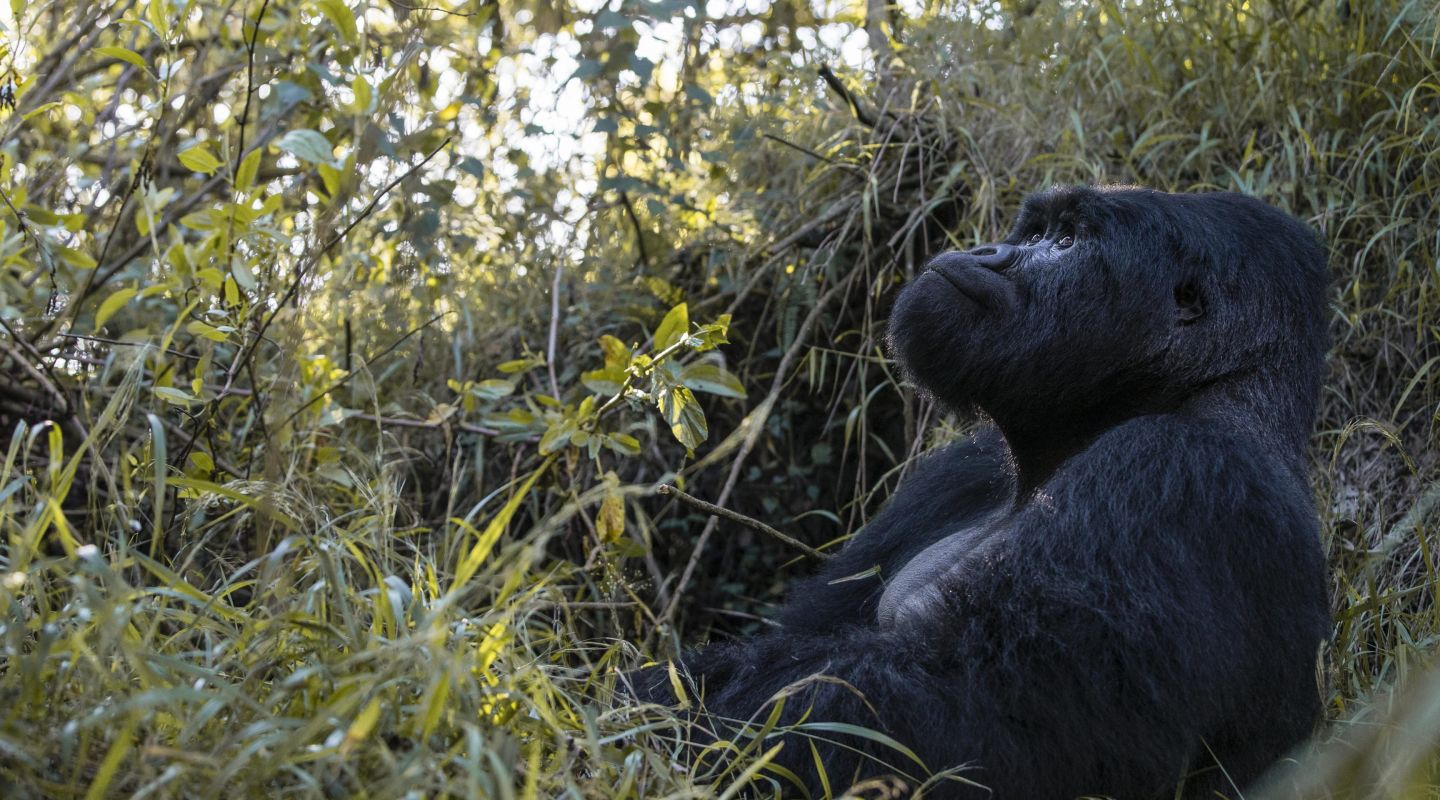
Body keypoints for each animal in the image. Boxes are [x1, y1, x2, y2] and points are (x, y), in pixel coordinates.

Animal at [636, 185, 1330, 800]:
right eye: (1033, 230)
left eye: (1066, 241)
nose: (986, 250)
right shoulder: (960, 469)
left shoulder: (1178, 471)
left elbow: (943, 721)